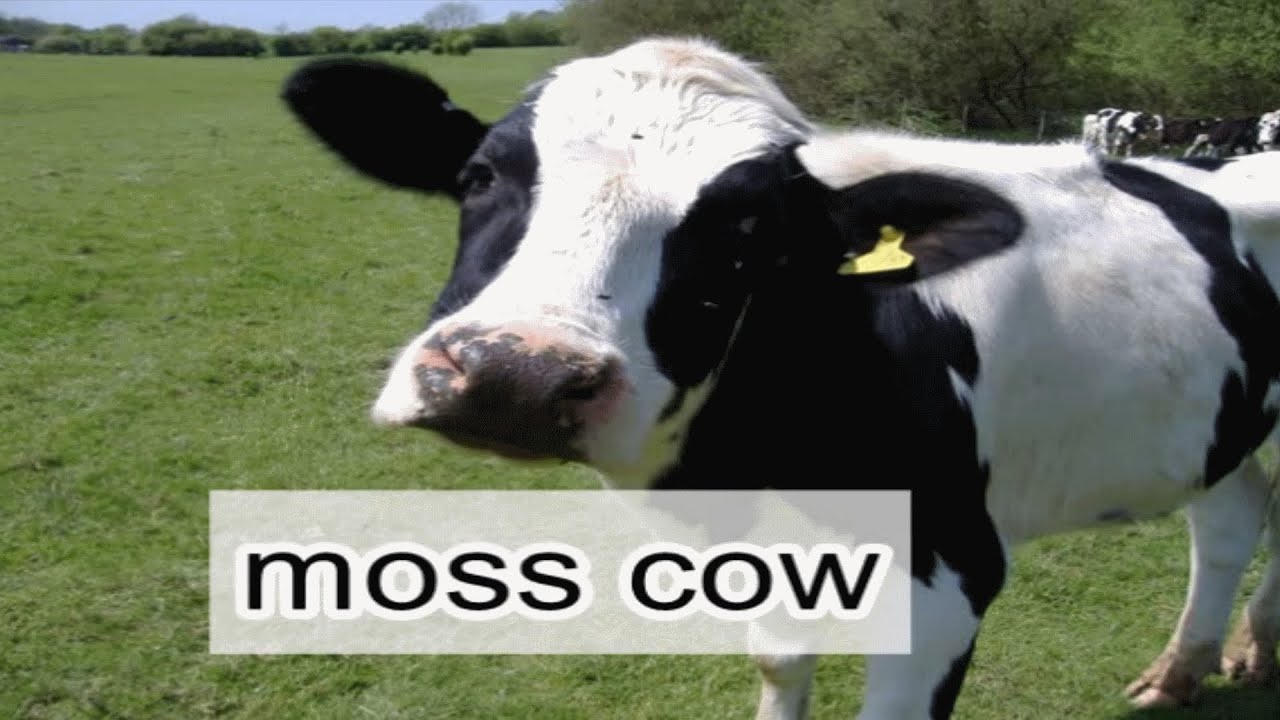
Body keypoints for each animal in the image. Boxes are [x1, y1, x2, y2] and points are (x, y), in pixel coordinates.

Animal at [282, 38, 1280, 720]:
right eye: (480, 173)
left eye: (749, 231)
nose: (517, 374)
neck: (745, 461)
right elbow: (780, 658)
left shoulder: (951, 565)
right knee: (1232, 515)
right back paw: (1184, 669)